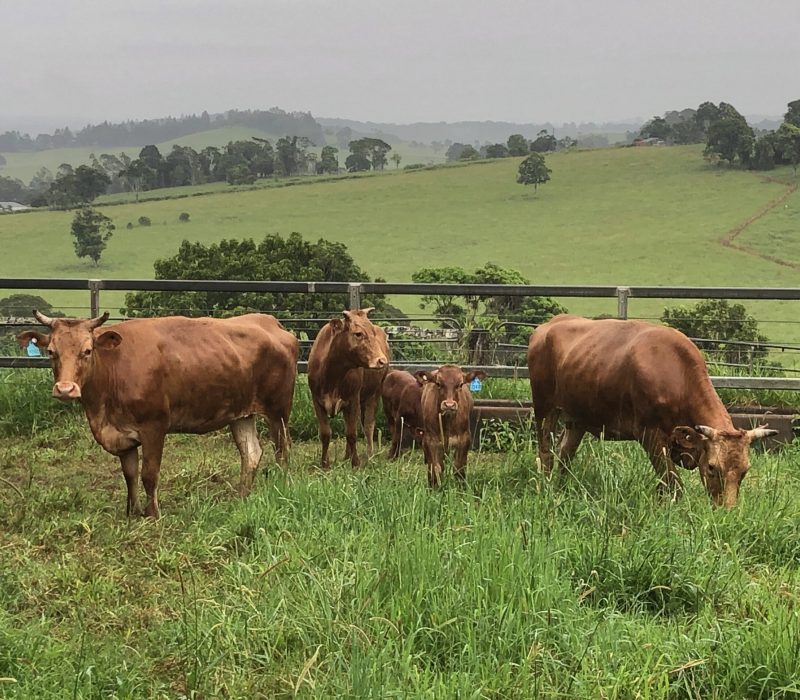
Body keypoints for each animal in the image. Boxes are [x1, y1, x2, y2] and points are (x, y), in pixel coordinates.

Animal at [18, 308, 300, 516]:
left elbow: (149, 474)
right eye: (51, 352)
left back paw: (280, 486)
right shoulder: (122, 435)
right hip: (241, 414)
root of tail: (269, 322)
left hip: (277, 411)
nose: (65, 389)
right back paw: (242, 496)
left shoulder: (154, 426)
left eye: (87, 351)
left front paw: (153, 514)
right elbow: (130, 474)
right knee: (251, 453)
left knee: (282, 450)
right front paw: (132, 513)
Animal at [524, 314, 776, 506]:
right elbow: (674, 484)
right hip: (544, 408)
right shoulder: (650, 435)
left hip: (578, 418)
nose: (726, 510)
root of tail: (550, 324)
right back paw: (546, 488)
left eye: (744, 470)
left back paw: (561, 489)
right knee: (545, 451)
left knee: (565, 453)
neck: (678, 375)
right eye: (712, 467)